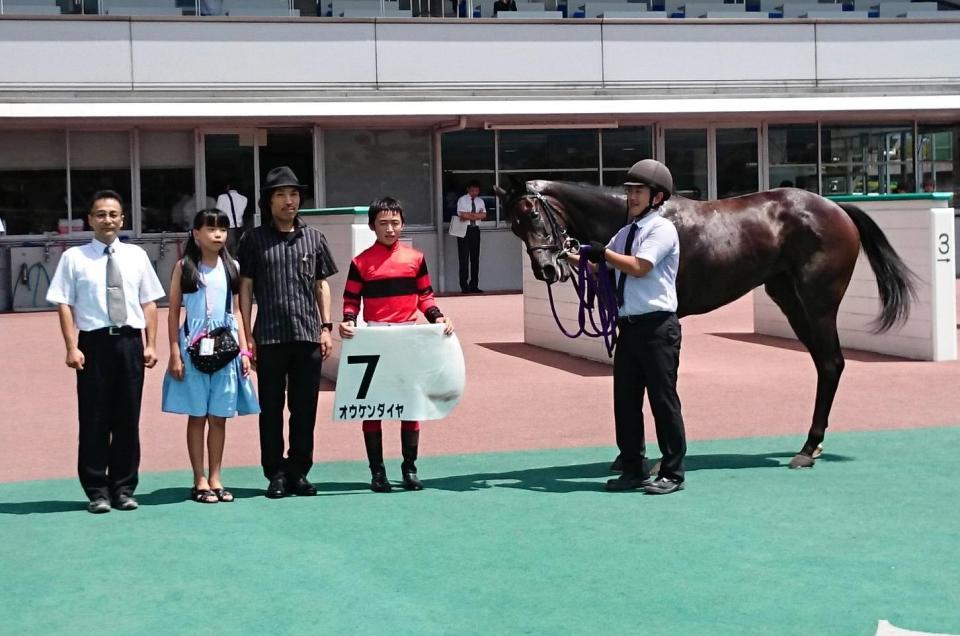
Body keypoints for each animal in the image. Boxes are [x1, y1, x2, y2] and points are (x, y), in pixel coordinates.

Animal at [499, 180, 917, 469]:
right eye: (515, 226)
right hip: (790, 301)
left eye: (533, 216)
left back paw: (808, 448)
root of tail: (835, 208)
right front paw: (631, 456)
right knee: (824, 364)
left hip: (818, 304)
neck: (638, 222)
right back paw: (811, 445)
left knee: (831, 363)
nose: (546, 269)